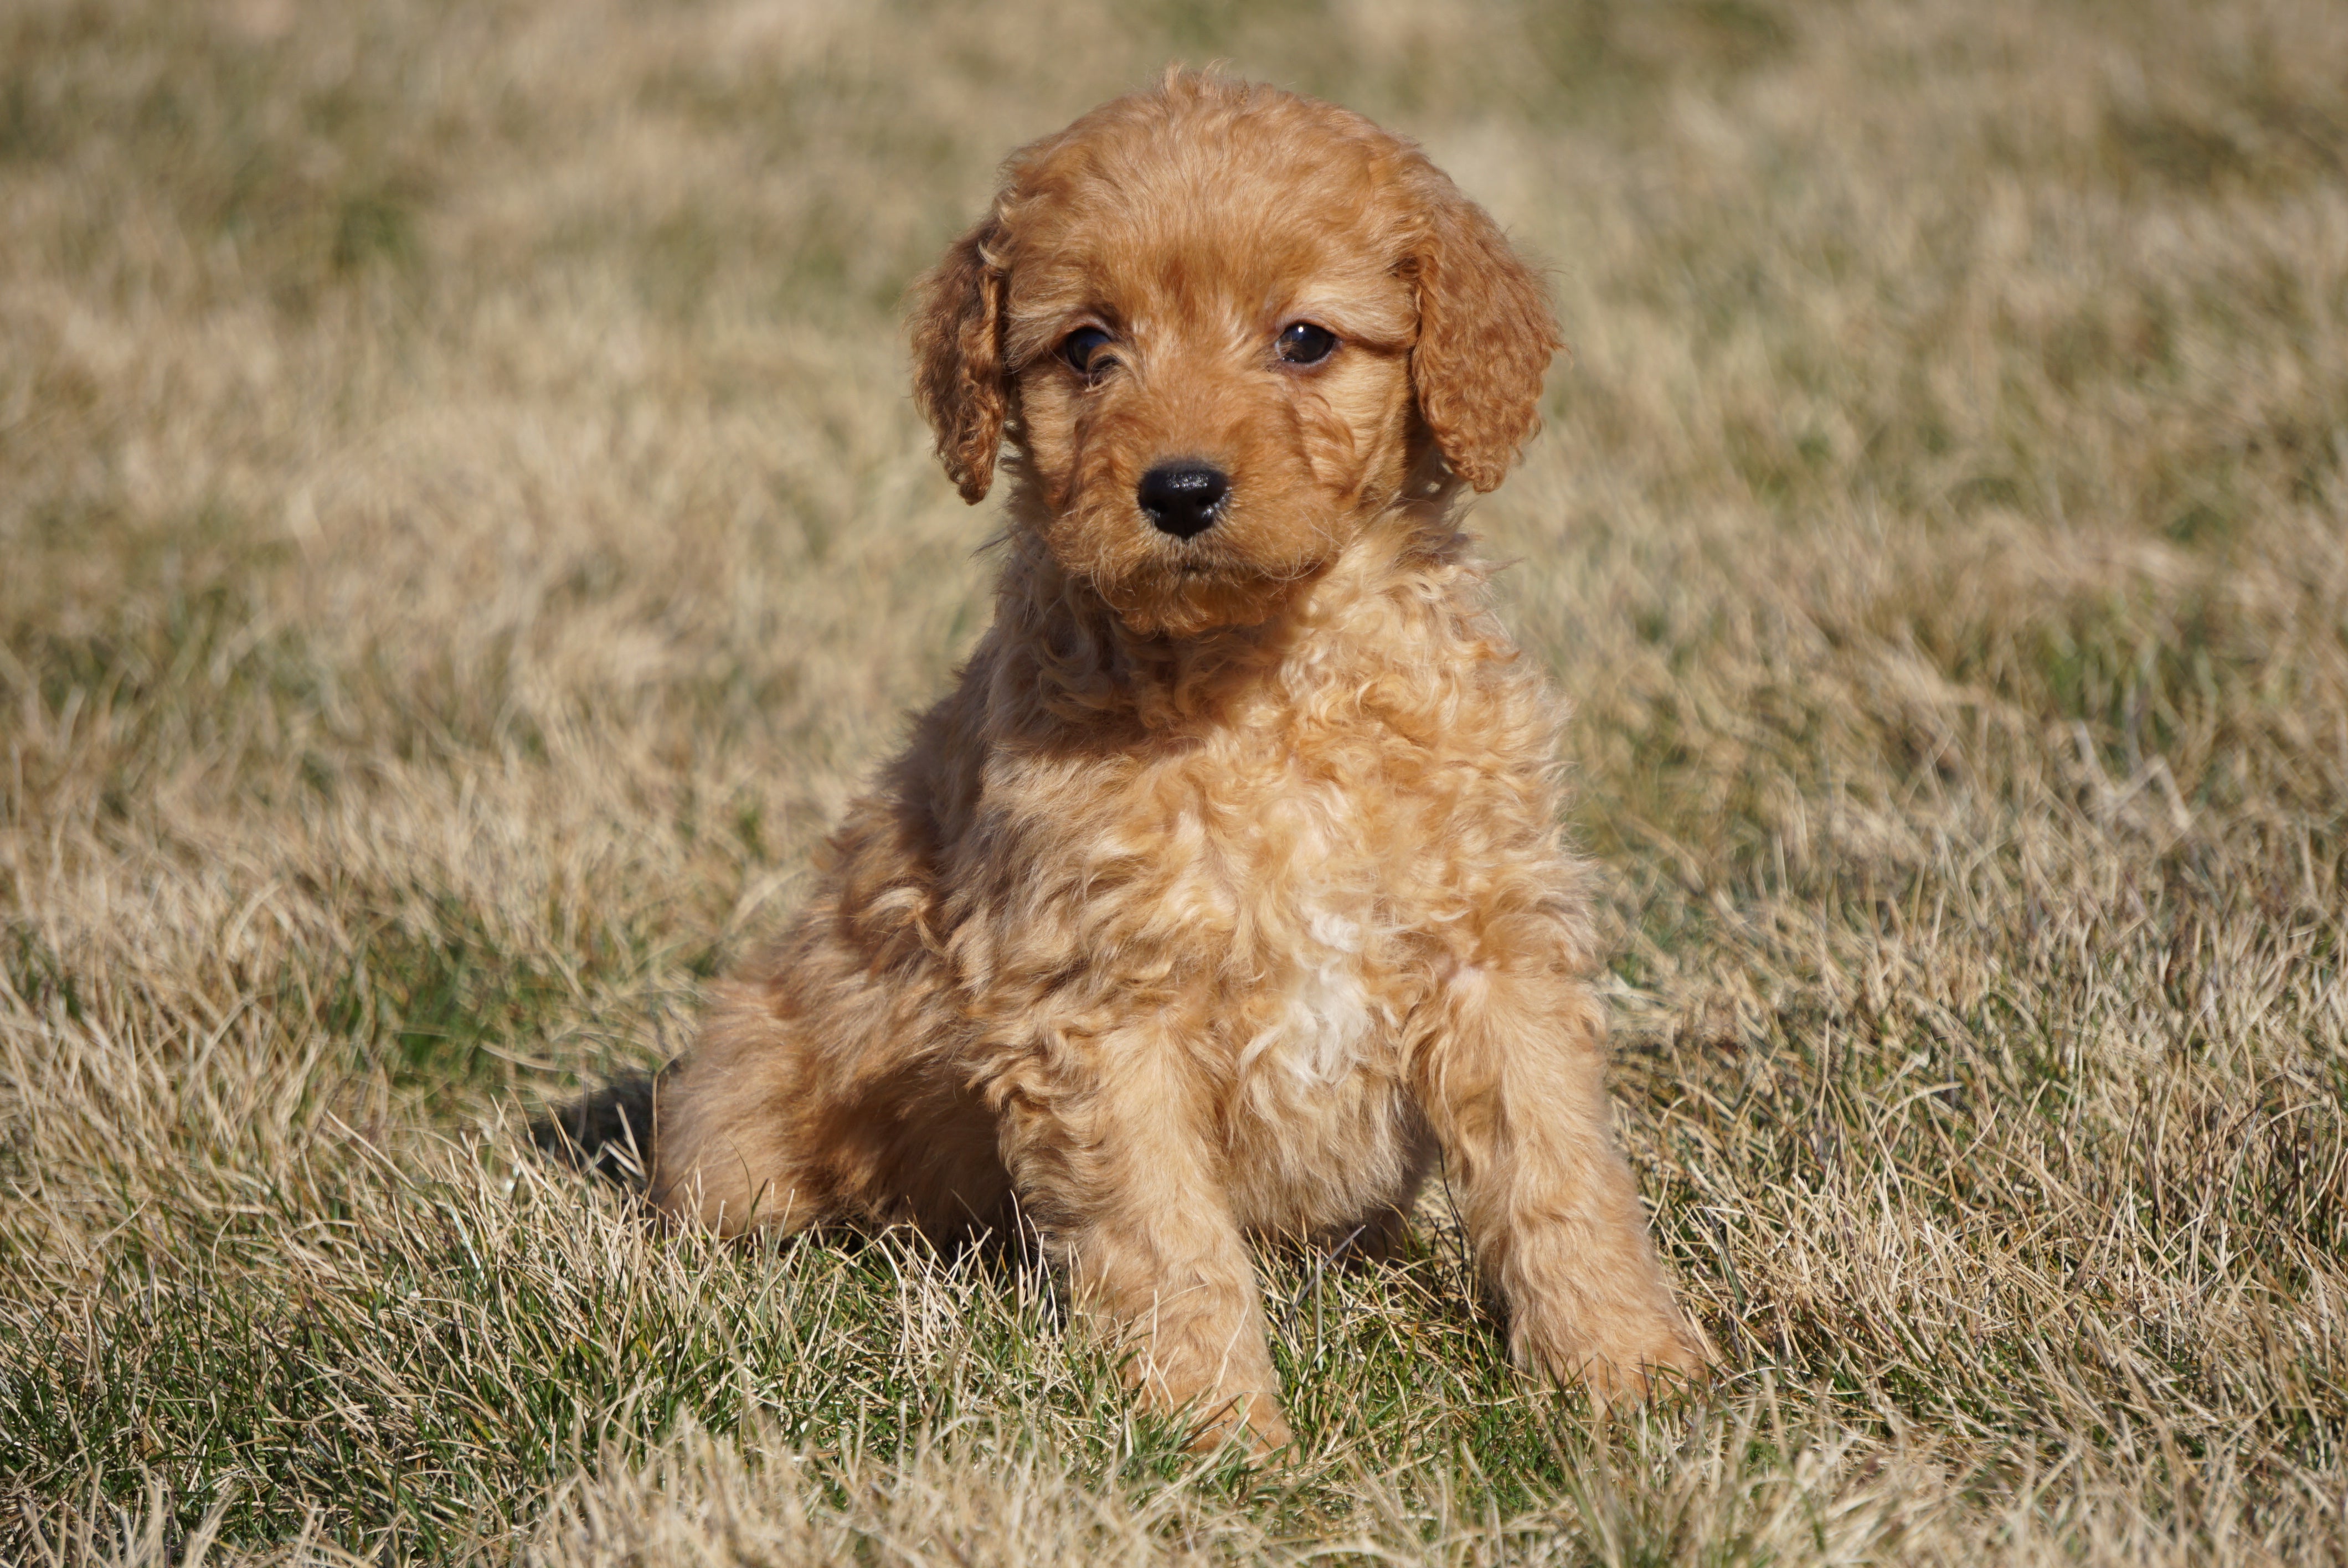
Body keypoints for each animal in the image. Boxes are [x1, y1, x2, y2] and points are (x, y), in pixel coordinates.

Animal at [652, 70, 1718, 1455]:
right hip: (739, 1112)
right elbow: (1165, 1239)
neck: (1264, 687)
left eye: (1304, 341)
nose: (1178, 491)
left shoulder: (1493, 951)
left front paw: (1629, 1370)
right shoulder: (1095, 1007)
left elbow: (1559, 1174)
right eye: (1086, 346)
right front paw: (1209, 1434)